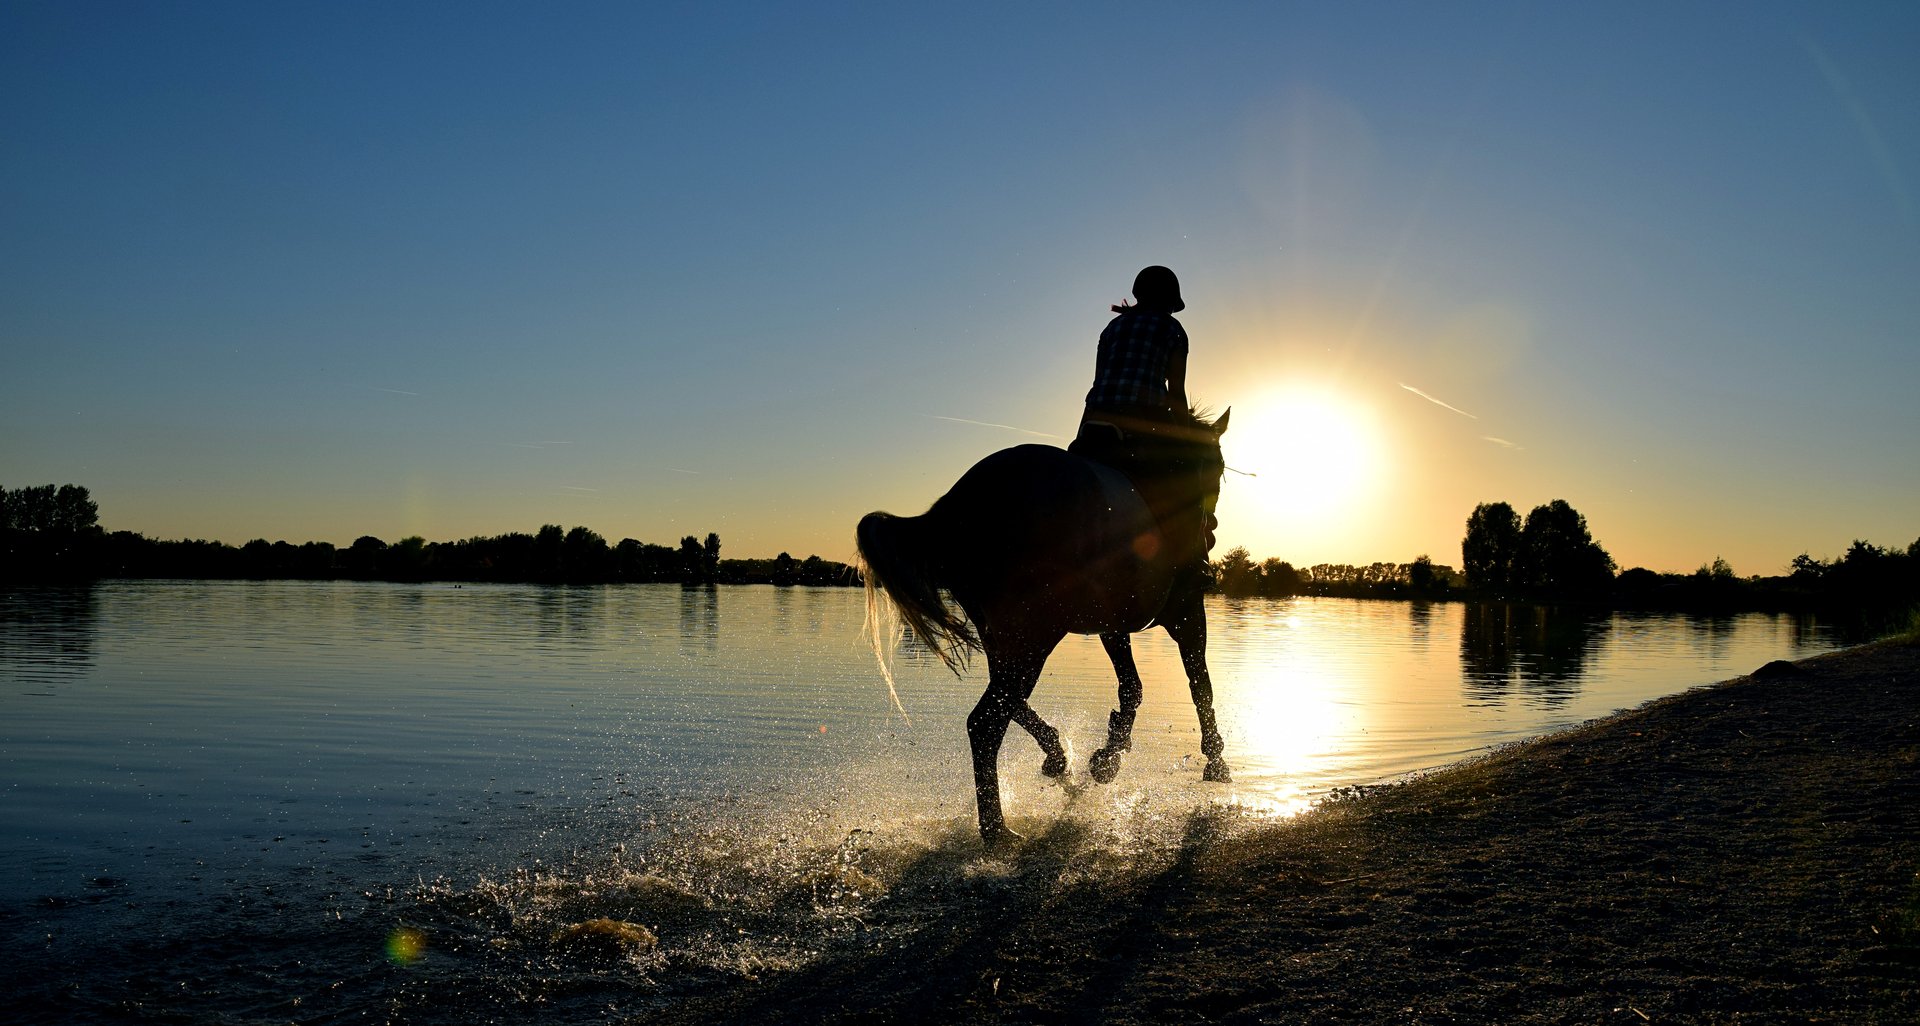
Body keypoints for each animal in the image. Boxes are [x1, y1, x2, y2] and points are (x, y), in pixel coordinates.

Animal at [852, 405, 1228, 849]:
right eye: (1218, 467)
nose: (1211, 530)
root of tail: (954, 508)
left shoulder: (1112, 624)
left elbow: (1132, 687)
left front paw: (1107, 758)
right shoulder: (1187, 613)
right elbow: (1199, 682)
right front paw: (1215, 759)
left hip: (1007, 634)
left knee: (1005, 699)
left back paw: (1055, 759)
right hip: (1036, 633)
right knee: (985, 722)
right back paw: (998, 830)